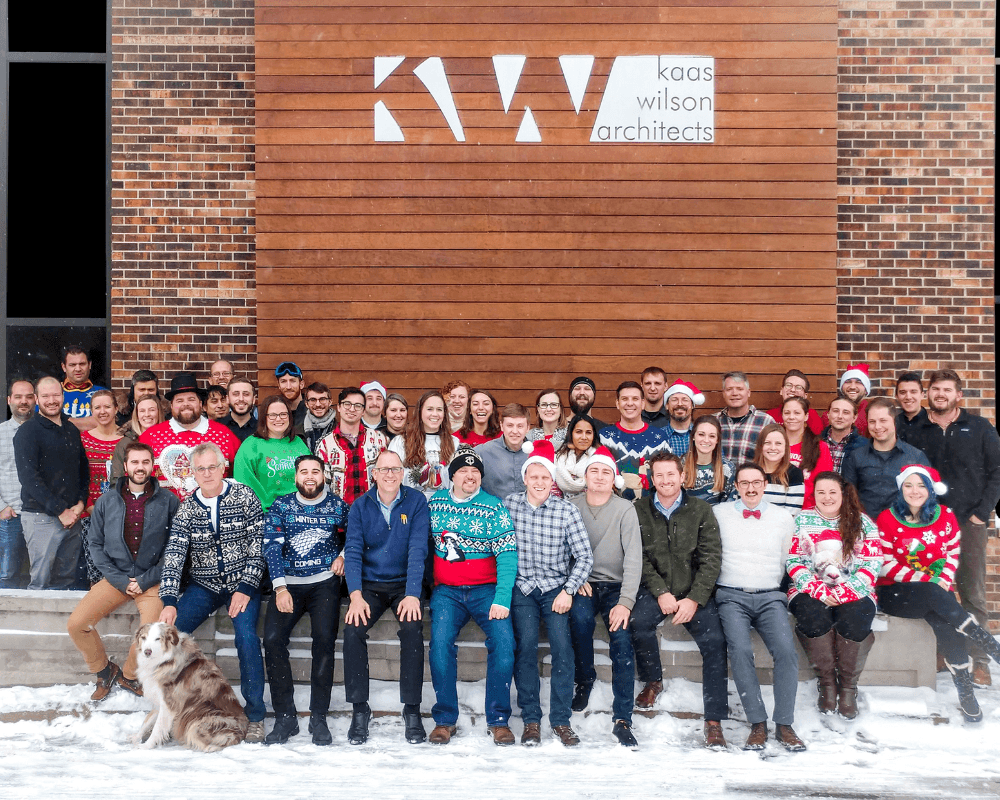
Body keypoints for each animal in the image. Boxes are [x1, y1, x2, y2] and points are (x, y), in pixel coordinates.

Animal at [132, 620, 249, 752]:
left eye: (158, 639)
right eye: (143, 637)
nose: (147, 652)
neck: (164, 660)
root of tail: (240, 735)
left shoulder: (169, 704)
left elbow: (158, 728)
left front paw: (146, 746)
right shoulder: (159, 700)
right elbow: (147, 721)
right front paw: (136, 737)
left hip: (197, 723)